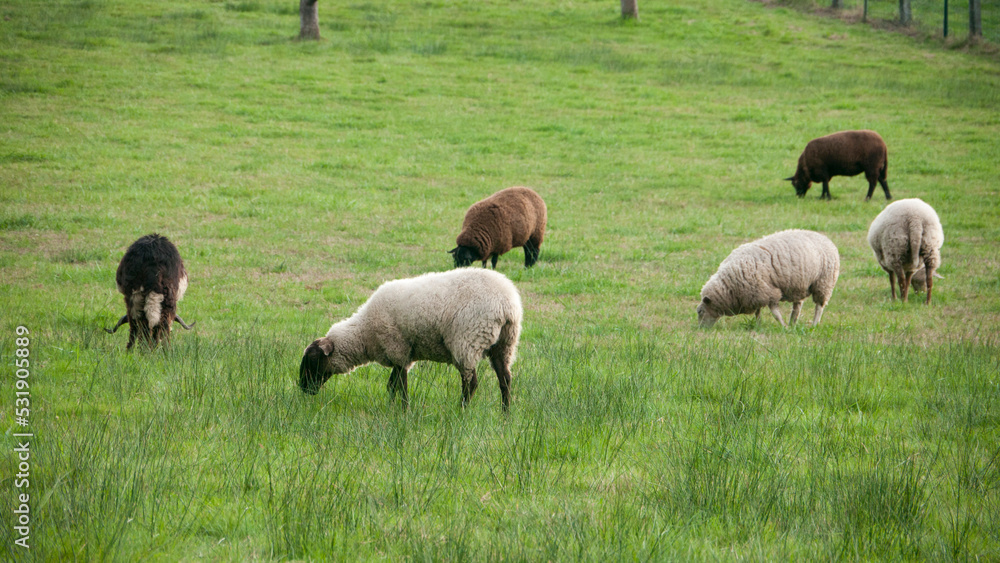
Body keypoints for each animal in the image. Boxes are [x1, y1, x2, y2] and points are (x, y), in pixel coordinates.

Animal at [298, 268, 524, 410]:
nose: (303, 389)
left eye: (313, 359)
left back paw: (462, 411)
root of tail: (507, 304)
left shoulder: (396, 347)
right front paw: (391, 408)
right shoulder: (402, 355)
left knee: (471, 382)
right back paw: (505, 414)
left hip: (468, 340)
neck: (365, 333)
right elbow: (392, 384)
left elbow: (401, 386)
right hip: (505, 344)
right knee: (505, 379)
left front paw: (404, 410)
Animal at [700, 228, 840, 328]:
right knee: (797, 307)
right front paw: (758, 325)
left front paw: (783, 326)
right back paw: (793, 323)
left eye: (700, 312)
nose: (701, 328)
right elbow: (758, 312)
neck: (729, 287)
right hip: (800, 285)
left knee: (819, 306)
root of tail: (826, 239)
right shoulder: (756, 294)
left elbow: (775, 313)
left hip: (823, 282)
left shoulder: (767, 292)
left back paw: (813, 325)